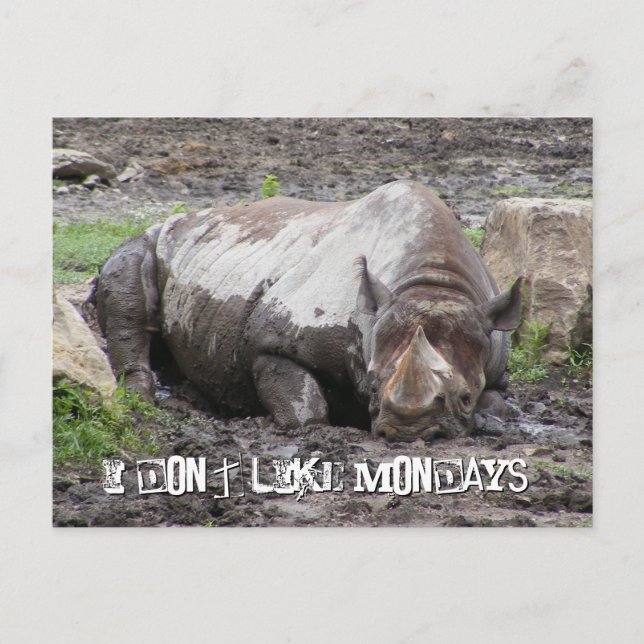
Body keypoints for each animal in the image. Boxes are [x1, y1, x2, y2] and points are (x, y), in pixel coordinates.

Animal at [95, 180, 522, 441]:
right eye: (371, 387)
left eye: (464, 397)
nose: (410, 432)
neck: (432, 282)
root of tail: (180, 218)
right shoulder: (271, 342)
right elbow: (307, 410)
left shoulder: (494, 355)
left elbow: (498, 402)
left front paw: (485, 421)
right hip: (151, 239)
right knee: (130, 291)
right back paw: (142, 398)